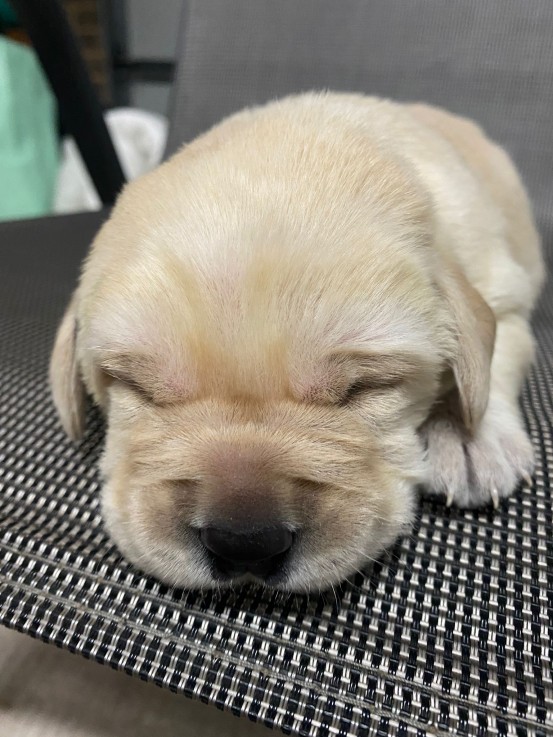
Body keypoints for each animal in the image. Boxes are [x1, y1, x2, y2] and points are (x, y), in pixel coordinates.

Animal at [48, 92, 544, 588]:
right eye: (136, 387)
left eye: (363, 387)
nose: (244, 543)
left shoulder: (504, 287)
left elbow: (496, 354)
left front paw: (465, 434)